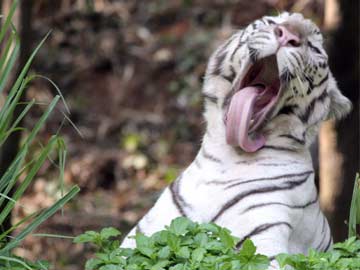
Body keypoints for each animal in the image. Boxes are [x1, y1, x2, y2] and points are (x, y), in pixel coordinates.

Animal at [121, 12, 352, 268]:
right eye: (273, 22)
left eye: (314, 48)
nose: (288, 35)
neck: (225, 156)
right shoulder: (142, 238)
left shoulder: (265, 247)